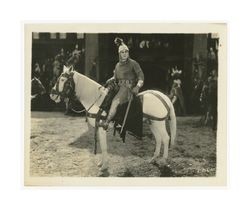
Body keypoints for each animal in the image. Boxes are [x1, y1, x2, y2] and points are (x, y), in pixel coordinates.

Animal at [49, 66, 177, 171]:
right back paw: (153, 159)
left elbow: (104, 147)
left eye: (62, 80)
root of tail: (162, 96)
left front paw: (104, 166)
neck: (98, 101)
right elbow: (102, 146)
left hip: (159, 123)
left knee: (166, 138)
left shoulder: (101, 127)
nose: (52, 95)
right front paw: (101, 164)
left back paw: (163, 161)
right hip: (153, 122)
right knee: (159, 139)